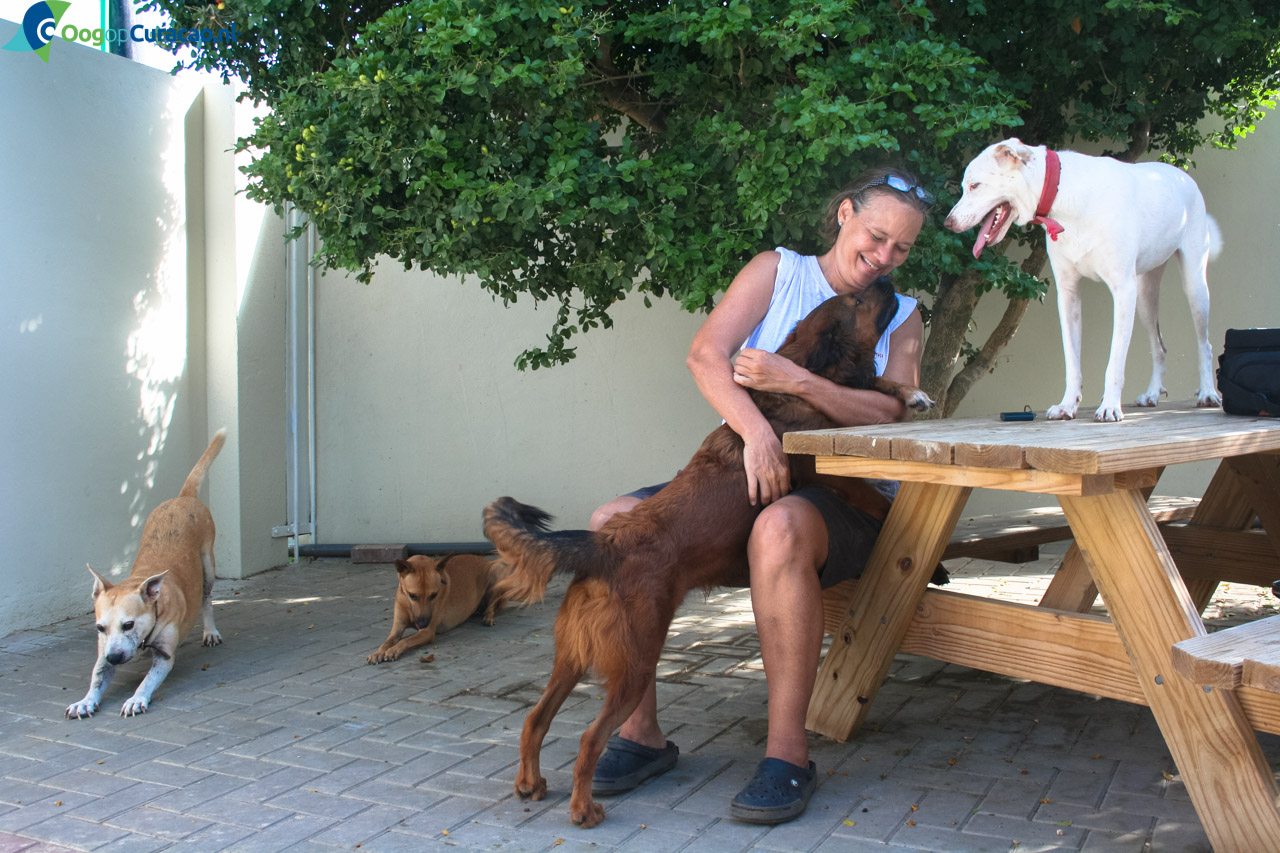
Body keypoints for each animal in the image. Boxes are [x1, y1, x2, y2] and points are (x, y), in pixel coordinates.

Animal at [66, 429, 227, 719]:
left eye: (128, 624)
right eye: (100, 627)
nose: (115, 658)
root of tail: (182, 497)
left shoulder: (163, 654)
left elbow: (148, 679)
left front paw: (136, 698)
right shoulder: (103, 651)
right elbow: (97, 676)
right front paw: (85, 700)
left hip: (208, 563)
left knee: (207, 599)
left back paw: (210, 631)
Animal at [366, 554, 505, 663]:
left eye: (433, 595)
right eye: (412, 595)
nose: (423, 624)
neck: (409, 606)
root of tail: (487, 560)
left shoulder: (427, 632)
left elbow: (405, 640)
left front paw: (393, 650)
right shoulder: (398, 628)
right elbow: (387, 642)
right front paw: (378, 652)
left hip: (497, 573)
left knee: (493, 605)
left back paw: (488, 616)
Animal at [943, 137, 1222, 422]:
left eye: (974, 185)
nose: (948, 223)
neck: (1063, 194)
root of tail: (1181, 175)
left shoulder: (1123, 291)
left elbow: (1115, 361)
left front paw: (1109, 406)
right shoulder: (1068, 294)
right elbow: (1072, 360)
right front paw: (1067, 405)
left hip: (1194, 286)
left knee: (1205, 344)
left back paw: (1208, 393)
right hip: (1145, 296)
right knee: (1159, 346)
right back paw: (1152, 394)